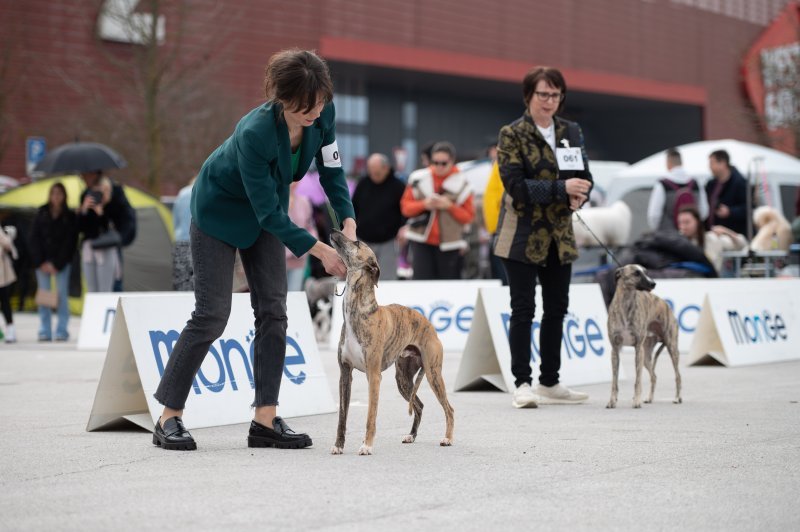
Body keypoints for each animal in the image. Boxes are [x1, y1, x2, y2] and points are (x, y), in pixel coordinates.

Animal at [328, 231, 454, 456]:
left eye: (357, 242)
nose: (334, 230)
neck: (358, 311)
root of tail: (429, 325)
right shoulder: (345, 375)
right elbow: (342, 417)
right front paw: (338, 445)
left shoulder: (373, 376)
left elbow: (371, 416)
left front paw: (367, 445)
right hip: (403, 379)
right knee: (419, 405)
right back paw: (411, 435)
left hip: (433, 374)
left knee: (449, 408)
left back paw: (447, 438)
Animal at [608, 264, 680, 408]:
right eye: (636, 273)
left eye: (646, 272)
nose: (653, 283)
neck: (626, 303)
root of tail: (666, 305)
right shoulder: (615, 350)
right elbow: (614, 382)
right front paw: (612, 401)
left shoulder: (637, 348)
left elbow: (638, 381)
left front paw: (636, 400)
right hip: (646, 356)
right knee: (654, 376)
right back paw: (649, 398)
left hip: (671, 348)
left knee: (678, 376)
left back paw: (677, 398)